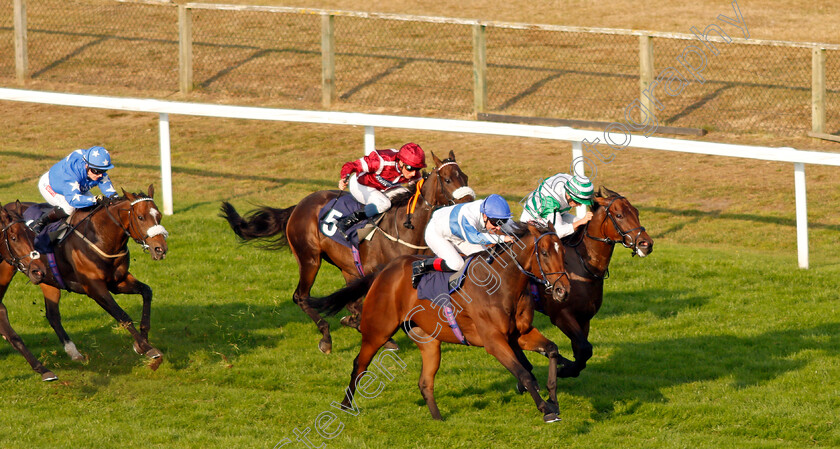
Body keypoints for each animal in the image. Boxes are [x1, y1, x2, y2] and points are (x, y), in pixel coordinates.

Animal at [220, 150, 476, 354]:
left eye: (465, 177)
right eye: (447, 179)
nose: (470, 201)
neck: (407, 226)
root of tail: (299, 205)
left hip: (347, 267)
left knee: (347, 301)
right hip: (310, 259)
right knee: (301, 296)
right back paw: (326, 337)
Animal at [306, 222, 572, 422]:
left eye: (563, 252)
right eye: (545, 253)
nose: (563, 290)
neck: (503, 283)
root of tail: (384, 271)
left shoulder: (520, 334)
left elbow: (551, 350)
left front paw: (553, 398)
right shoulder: (494, 341)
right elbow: (524, 374)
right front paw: (546, 410)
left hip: (428, 341)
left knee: (425, 382)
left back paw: (438, 418)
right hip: (377, 331)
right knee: (359, 366)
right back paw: (345, 406)